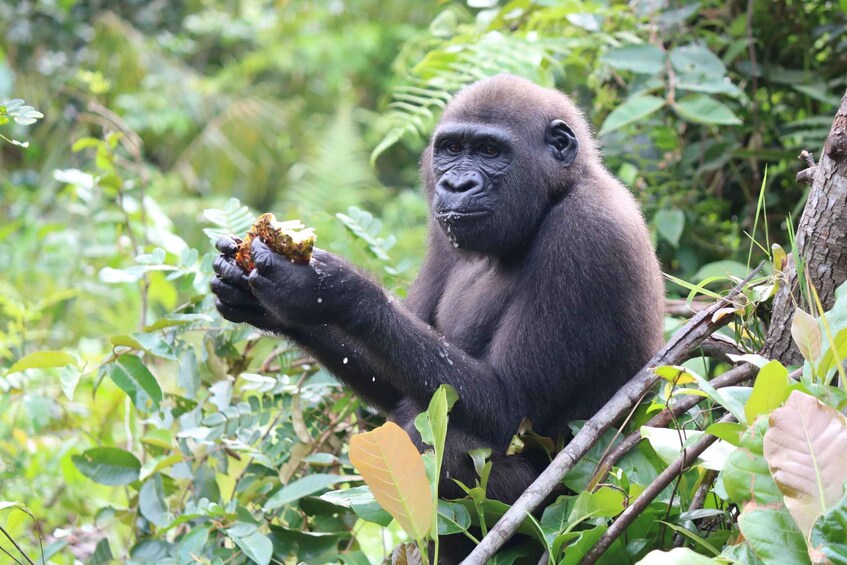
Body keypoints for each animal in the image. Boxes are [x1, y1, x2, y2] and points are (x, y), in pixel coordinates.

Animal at [211, 73, 664, 560]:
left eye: (490, 151)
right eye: (451, 148)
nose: (456, 184)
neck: (559, 191)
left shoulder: (587, 233)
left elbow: (509, 405)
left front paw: (327, 289)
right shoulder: (442, 232)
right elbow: (395, 380)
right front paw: (264, 305)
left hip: (565, 510)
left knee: (434, 445)